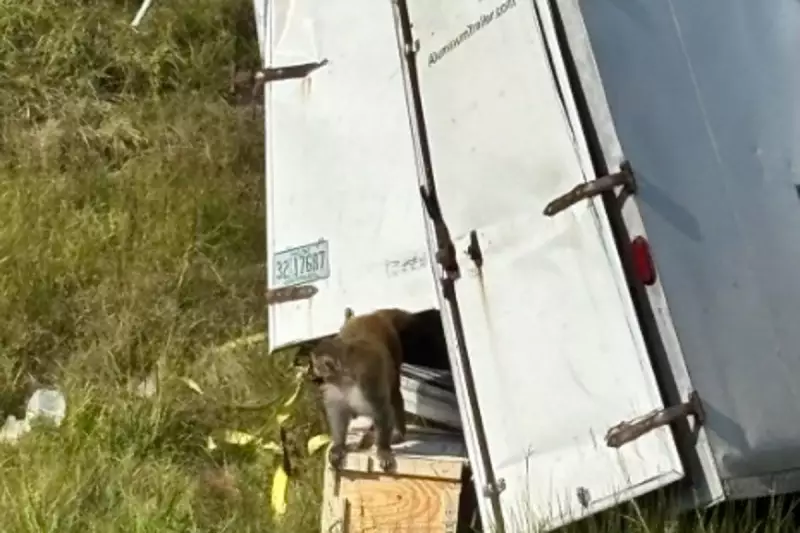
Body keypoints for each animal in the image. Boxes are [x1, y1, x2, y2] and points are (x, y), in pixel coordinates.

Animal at [310, 307, 415, 473]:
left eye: (316, 365)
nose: (312, 373)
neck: (345, 379)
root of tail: (372, 315)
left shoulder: (368, 380)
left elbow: (382, 411)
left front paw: (383, 449)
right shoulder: (334, 388)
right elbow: (338, 412)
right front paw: (339, 446)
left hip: (394, 347)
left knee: (394, 392)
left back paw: (397, 433)